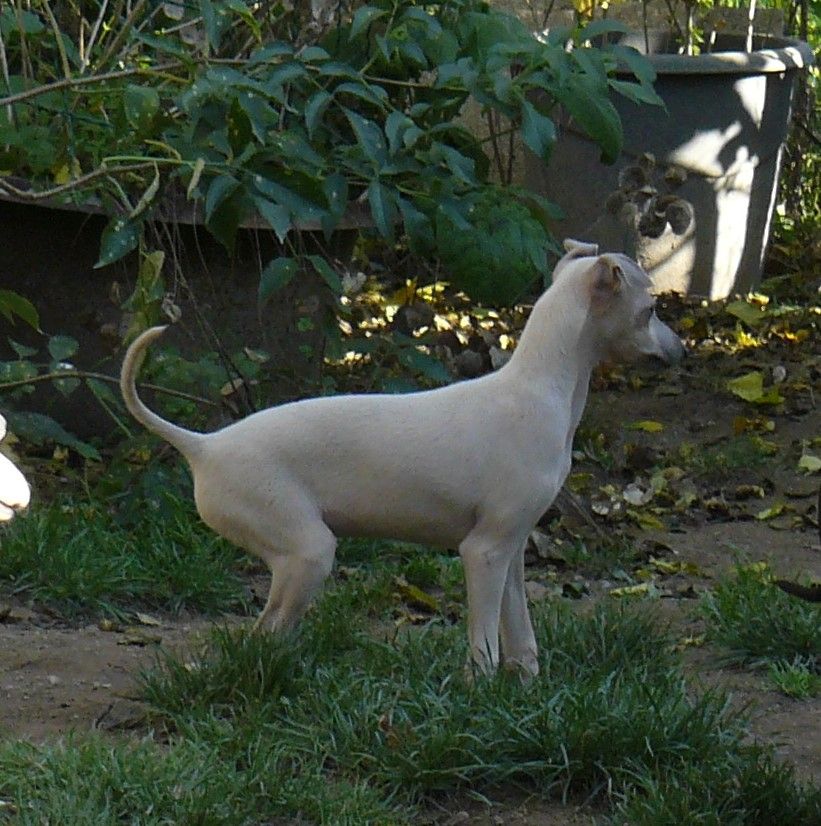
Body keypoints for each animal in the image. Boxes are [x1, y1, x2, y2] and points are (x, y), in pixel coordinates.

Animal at [123, 240, 684, 676]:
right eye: (652, 309)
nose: (681, 351)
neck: (538, 387)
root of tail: (205, 446)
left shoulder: (511, 547)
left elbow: (520, 638)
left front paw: (526, 691)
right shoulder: (483, 552)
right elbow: (484, 646)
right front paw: (480, 699)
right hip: (307, 552)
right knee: (264, 635)